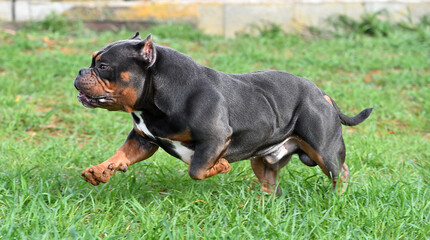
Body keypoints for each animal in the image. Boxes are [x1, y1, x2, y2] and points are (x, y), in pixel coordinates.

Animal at [73, 32, 370, 195]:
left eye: (103, 66)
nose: (80, 70)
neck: (152, 100)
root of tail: (322, 93)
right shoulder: (143, 139)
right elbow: (121, 153)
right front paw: (101, 170)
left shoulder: (214, 138)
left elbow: (197, 168)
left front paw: (220, 166)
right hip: (263, 161)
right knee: (271, 184)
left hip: (324, 149)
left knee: (340, 171)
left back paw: (337, 197)